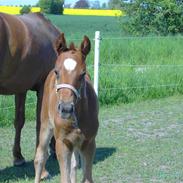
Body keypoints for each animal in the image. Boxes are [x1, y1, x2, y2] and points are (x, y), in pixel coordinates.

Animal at [34, 33, 98, 183]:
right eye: (57, 72)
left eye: (83, 74)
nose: (66, 109)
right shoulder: (62, 143)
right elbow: (64, 178)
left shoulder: (89, 142)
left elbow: (86, 177)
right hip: (46, 125)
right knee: (40, 157)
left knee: (74, 165)